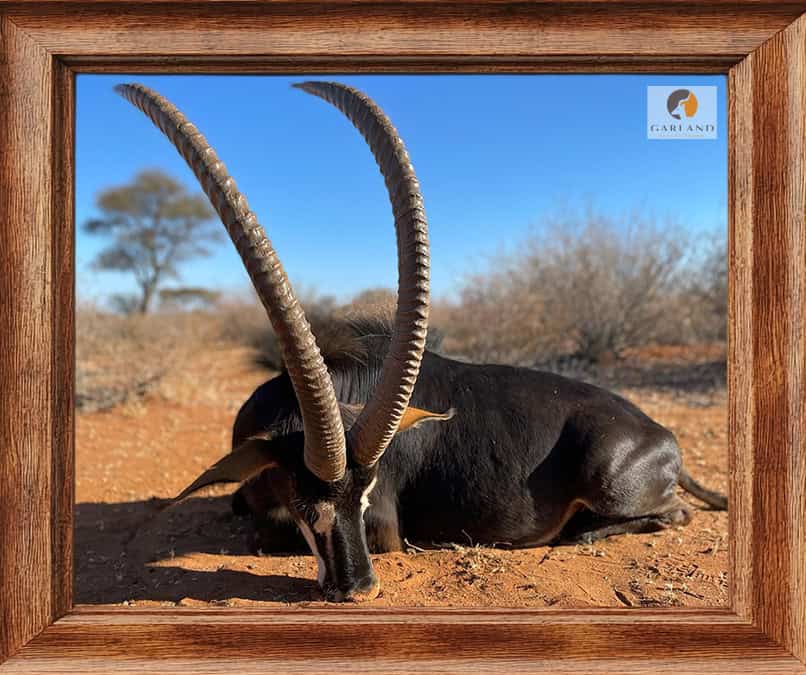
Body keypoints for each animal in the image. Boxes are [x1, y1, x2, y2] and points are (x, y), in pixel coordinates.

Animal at [118, 81, 727, 603]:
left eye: (366, 496)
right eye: (305, 499)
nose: (359, 588)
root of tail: (659, 434)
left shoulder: (383, 528)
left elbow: (259, 534)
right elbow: (239, 506)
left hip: (609, 482)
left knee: (674, 515)